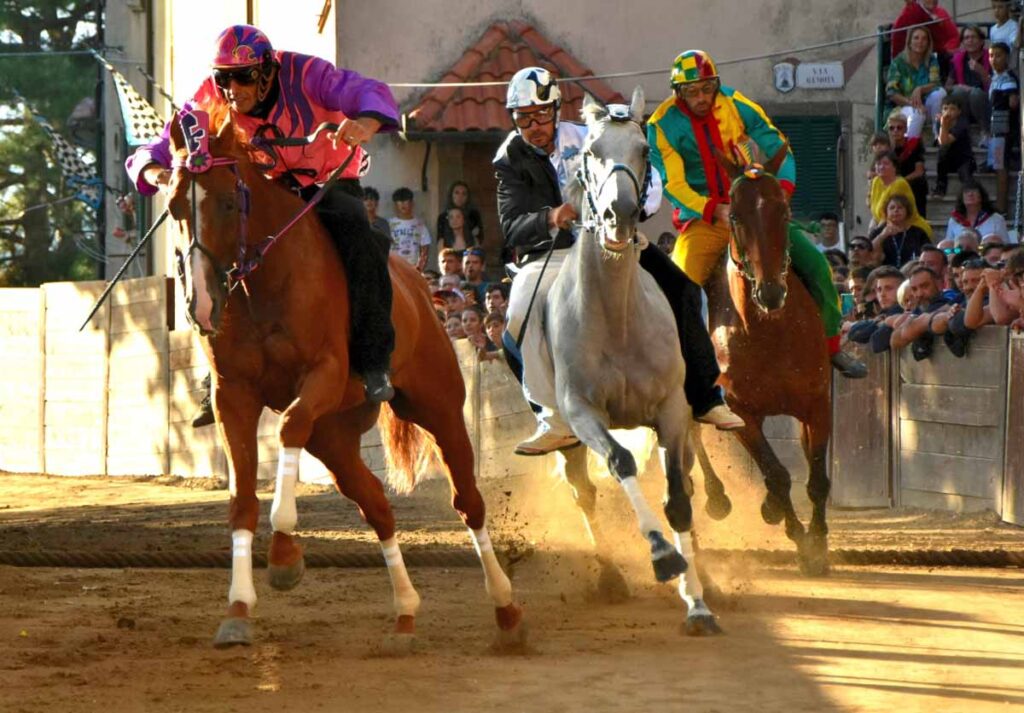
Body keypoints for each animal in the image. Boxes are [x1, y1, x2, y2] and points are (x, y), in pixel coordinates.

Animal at [166, 107, 524, 651]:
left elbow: (288, 427)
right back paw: (405, 612)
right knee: (378, 508)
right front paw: (238, 610)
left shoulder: (325, 374)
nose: (202, 305)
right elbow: (242, 501)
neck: (264, 284)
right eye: (172, 207)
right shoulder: (234, 397)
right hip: (334, 439)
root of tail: (420, 288)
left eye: (229, 202)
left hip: (438, 407)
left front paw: (285, 554)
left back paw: (506, 609)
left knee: (469, 504)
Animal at [552, 90, 720, 635]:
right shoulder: (583, 413)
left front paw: (697, 600)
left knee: (686, 479)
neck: (618, 319)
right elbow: (620, 463)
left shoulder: (671, 411)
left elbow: (678, 497)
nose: (619, 213)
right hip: (566, 439)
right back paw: (610, 576)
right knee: (583, 492)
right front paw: (664, 557)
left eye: (644, 150)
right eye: (591, 152)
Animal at [700, 147, 835, 577]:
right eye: (736, 216)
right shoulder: (741, 411)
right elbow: (776, 475)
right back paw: (716, 497)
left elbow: (817, 477)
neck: (768, 330)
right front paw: (801, 541)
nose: (771, 292)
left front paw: (819, 544)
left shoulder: (817, 403)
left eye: (785, 212)